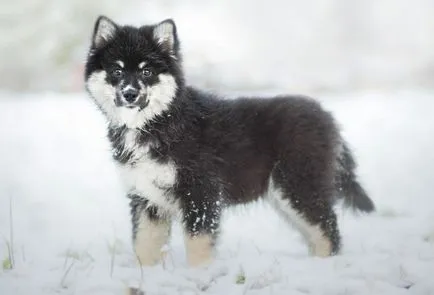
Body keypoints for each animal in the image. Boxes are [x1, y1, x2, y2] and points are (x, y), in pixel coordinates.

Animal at [84, 16, 372, 268]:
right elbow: (144, 244)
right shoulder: (146, 197)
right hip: (286, 193)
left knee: (327, 230)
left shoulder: (201, 193)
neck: (159, 121)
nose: (130, 94)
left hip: (298, 184)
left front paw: (199, 276)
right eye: (116, 70)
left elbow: (198, 244)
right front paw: (147, 276)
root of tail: (326, 116)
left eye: (147, 71)